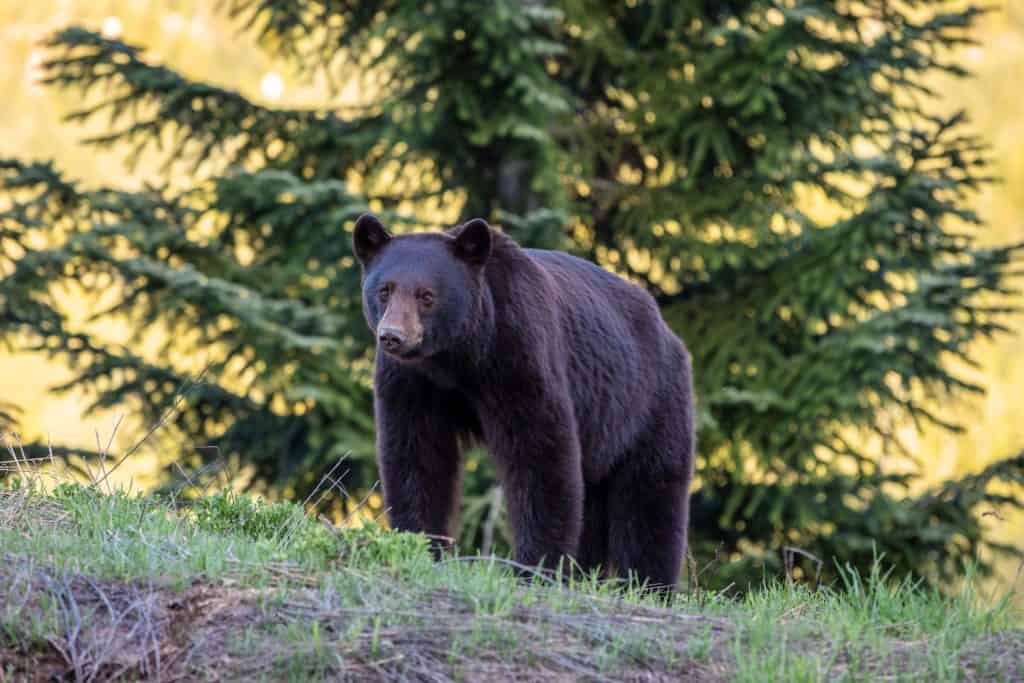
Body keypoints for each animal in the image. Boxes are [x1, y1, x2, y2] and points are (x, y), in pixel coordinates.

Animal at [352, 213, 695, 592]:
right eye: (384, 290)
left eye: (427, 295)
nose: (392, 336)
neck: (456, 358)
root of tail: (670, 333)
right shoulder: (412, 384)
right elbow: (417, 457)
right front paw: (420, 545)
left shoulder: (518, 354)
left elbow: (539, 454)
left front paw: (536, 566)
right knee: (592, 500)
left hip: (649, 402)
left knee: (650, 494)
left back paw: (650, 584)